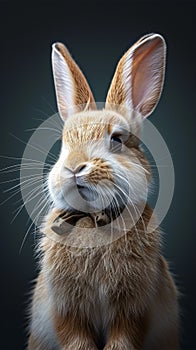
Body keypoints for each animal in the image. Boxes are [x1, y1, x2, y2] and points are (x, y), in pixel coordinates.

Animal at [27, 33, 179, 350]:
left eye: (117, 139)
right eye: (64, 143)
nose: (74, 167)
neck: (92, 218)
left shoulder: (133, 309)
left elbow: (123, 339)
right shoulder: (67, 310)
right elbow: (76, 339)